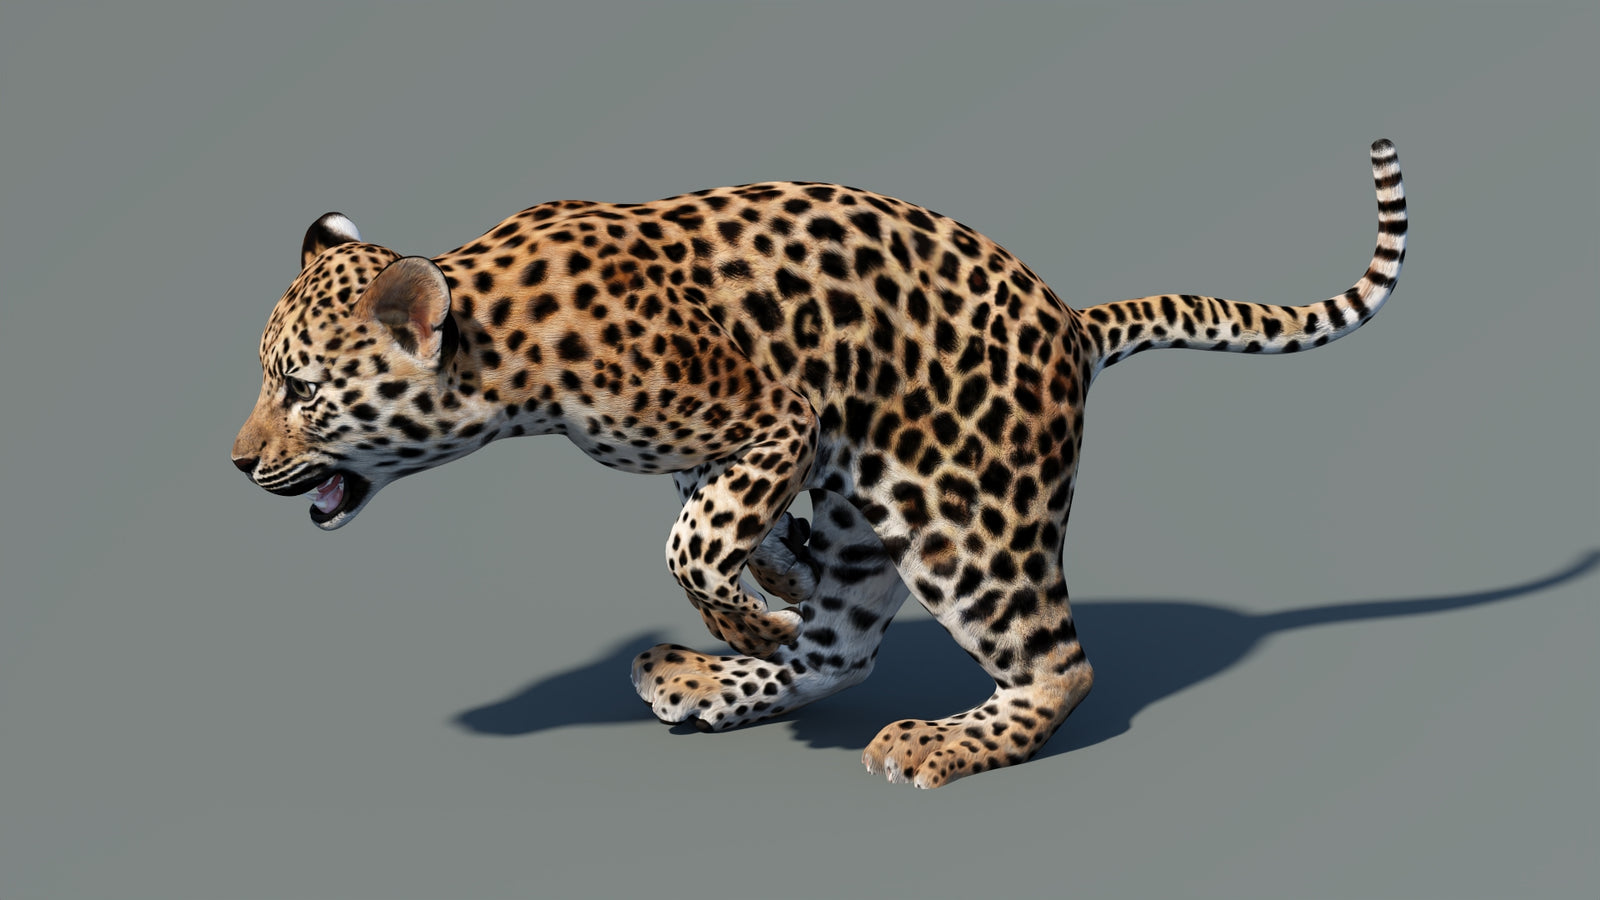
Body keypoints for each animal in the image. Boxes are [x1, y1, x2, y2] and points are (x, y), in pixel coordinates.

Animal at [232, 141, 1406, 788]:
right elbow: (724, 530)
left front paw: (750, 610)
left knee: (1054, 662)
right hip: (878, 510)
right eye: (266, 381)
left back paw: (938, 742)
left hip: (962, 516)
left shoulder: (773, 409)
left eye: (299, 391)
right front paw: (772, 590)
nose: (237, 463)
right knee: (844, 648)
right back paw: (704, 679)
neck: (505, 354)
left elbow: (690, 543)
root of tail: (1072, 322)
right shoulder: (758, 443)